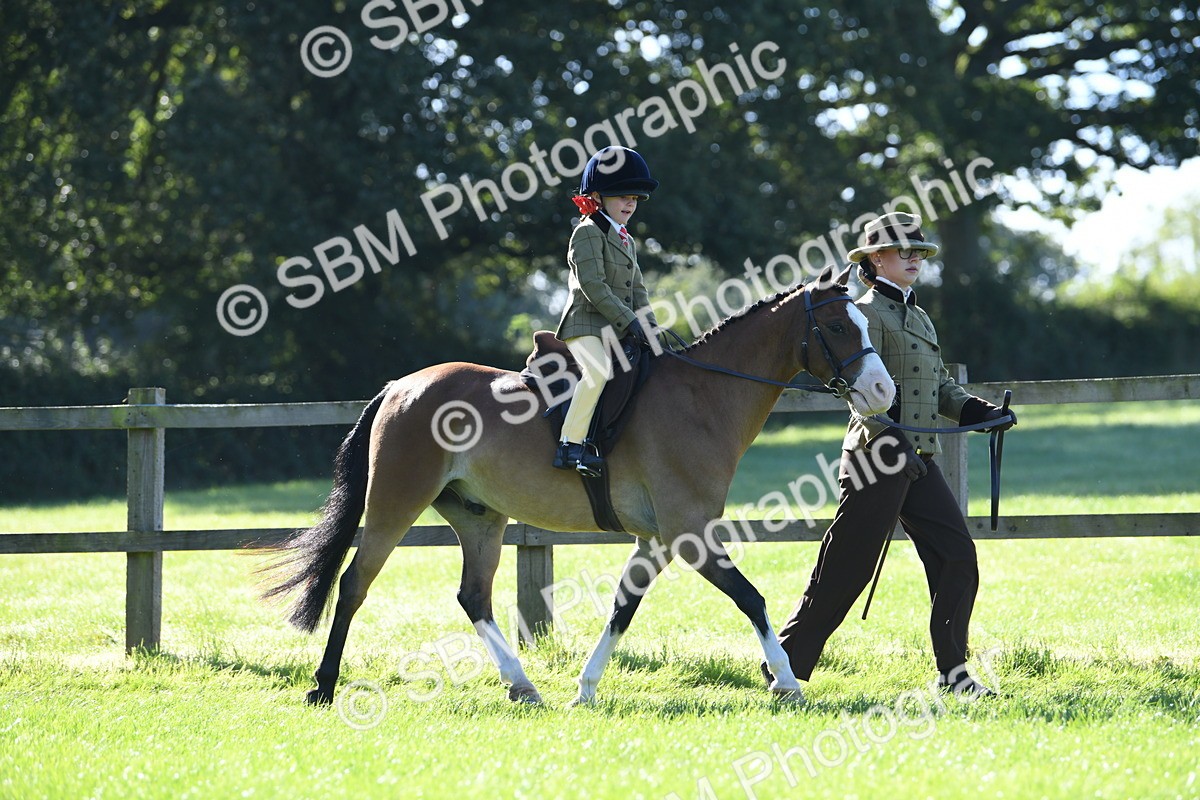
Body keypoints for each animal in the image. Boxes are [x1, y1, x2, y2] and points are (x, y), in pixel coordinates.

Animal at [261, 265, 895, 706]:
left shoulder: (657, 541)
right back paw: (322, 687)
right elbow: (751, 599)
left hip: (479, 517)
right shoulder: (689, 534)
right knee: (354, 585)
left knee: (474, 597)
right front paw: (786, 682)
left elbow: (623, 607)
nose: (884, 393)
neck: (704, 396)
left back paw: (522, 687)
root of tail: (401, 386)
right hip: (396, 503)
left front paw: (586, 688)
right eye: (838, 325)